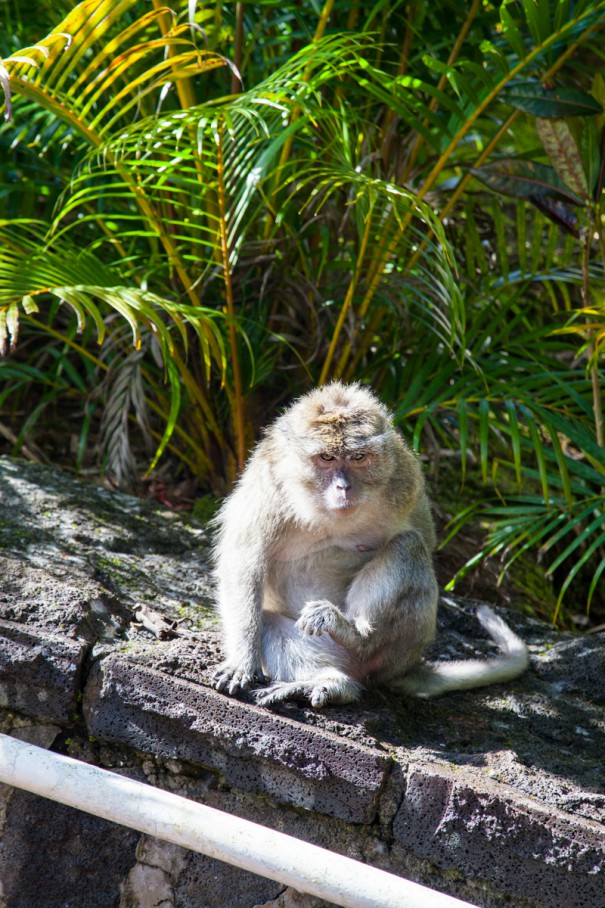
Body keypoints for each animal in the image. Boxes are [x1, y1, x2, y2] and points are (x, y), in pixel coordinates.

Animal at [210, 380, 528, 704]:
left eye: (358, 458)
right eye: (327, 458)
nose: (343, 487)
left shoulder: (404, 480)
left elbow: (423, 537)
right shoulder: (268, 484)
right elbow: (244, 561)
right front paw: (243, 660)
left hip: (395, 652)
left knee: (408, 545)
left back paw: (356, 639)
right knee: (270, 621)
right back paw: (330, 681)